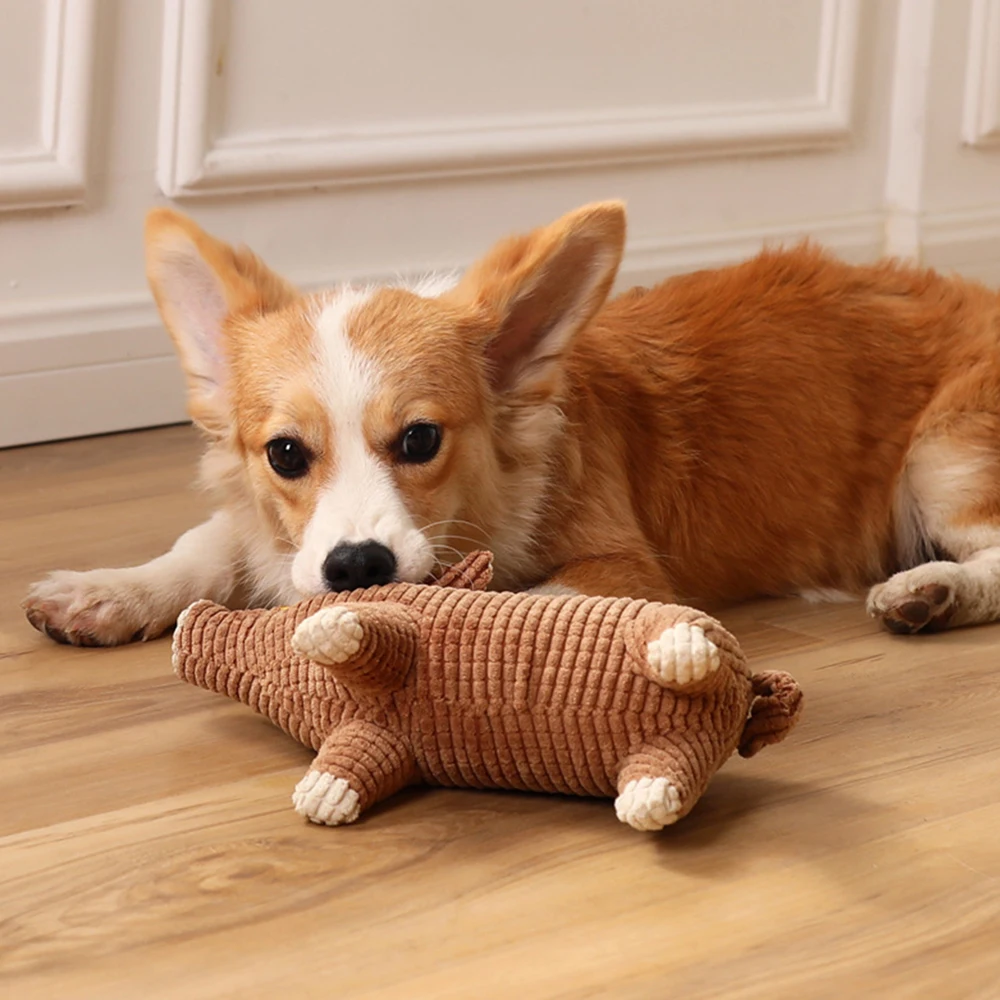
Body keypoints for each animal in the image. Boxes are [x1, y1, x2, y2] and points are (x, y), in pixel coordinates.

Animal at [23, 201, 1000, 645]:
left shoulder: (624, 567)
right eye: (287, 454)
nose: (356, 568)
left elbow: (518, 604)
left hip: (942, 457)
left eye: (420, 440)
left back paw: (932, 590)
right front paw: (108, 592)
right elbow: (207, 545)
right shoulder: (267, 527)